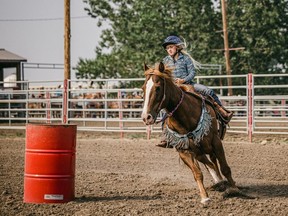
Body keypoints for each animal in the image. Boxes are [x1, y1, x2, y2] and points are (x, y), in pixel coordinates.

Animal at [141, 62, 240, 204]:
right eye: (143, 88)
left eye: (158, 88)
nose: (146, 117)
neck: (185, 116)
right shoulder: (184, 151)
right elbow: (197, 173)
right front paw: (204, 197)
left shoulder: (216, 142)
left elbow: (225, 167)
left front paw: (233, 189)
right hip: (199, 152)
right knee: (209, 163)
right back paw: (218, 182)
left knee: (213, 161)